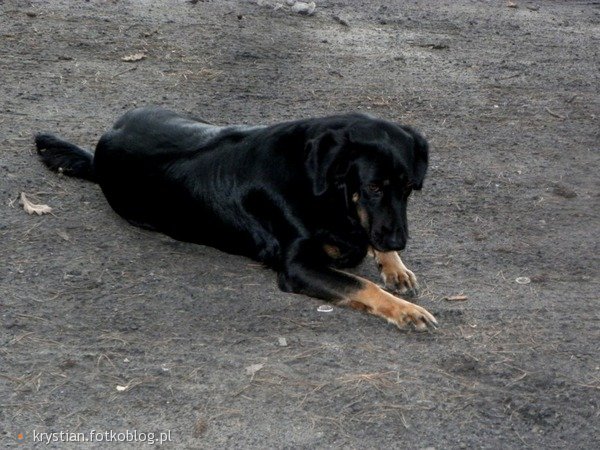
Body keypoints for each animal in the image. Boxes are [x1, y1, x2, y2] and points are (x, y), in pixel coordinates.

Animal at [36, 107, 436, 328]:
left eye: (409, 187)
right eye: (373, 187)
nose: (399, 241)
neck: (320, 186)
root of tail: (99, 152)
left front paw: (394, 265)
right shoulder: (298, 267)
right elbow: (361, 284)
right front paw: (406, 310)